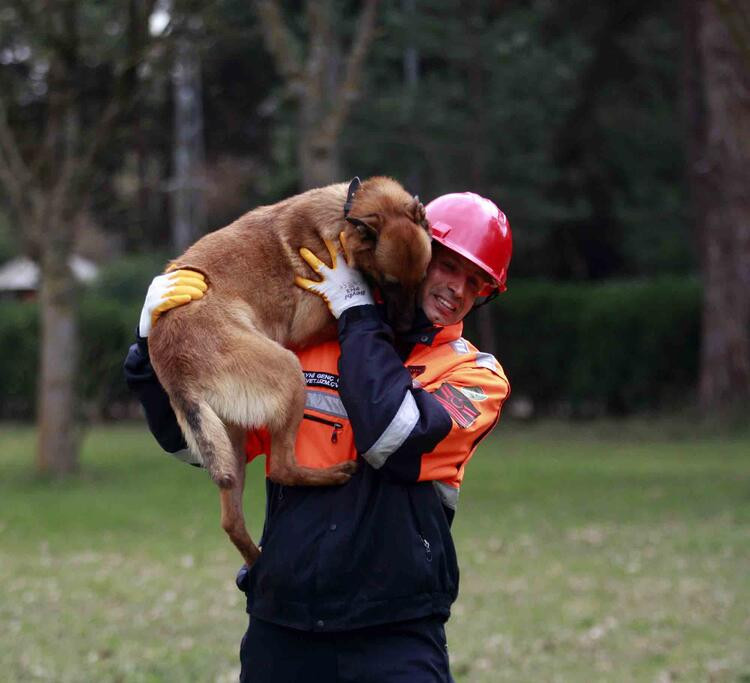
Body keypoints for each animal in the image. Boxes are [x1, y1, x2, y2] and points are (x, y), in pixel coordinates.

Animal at [147, 176, 432, 568]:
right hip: (289, 373)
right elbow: (370, 311)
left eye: (420, 279)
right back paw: (333, 475)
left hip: (232, 440)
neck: (346, 216)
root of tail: (175, 368)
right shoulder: (310, 325)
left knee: (231, 520)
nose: (408, 327)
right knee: (282, 467)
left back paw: (256, 560)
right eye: (390, 282)